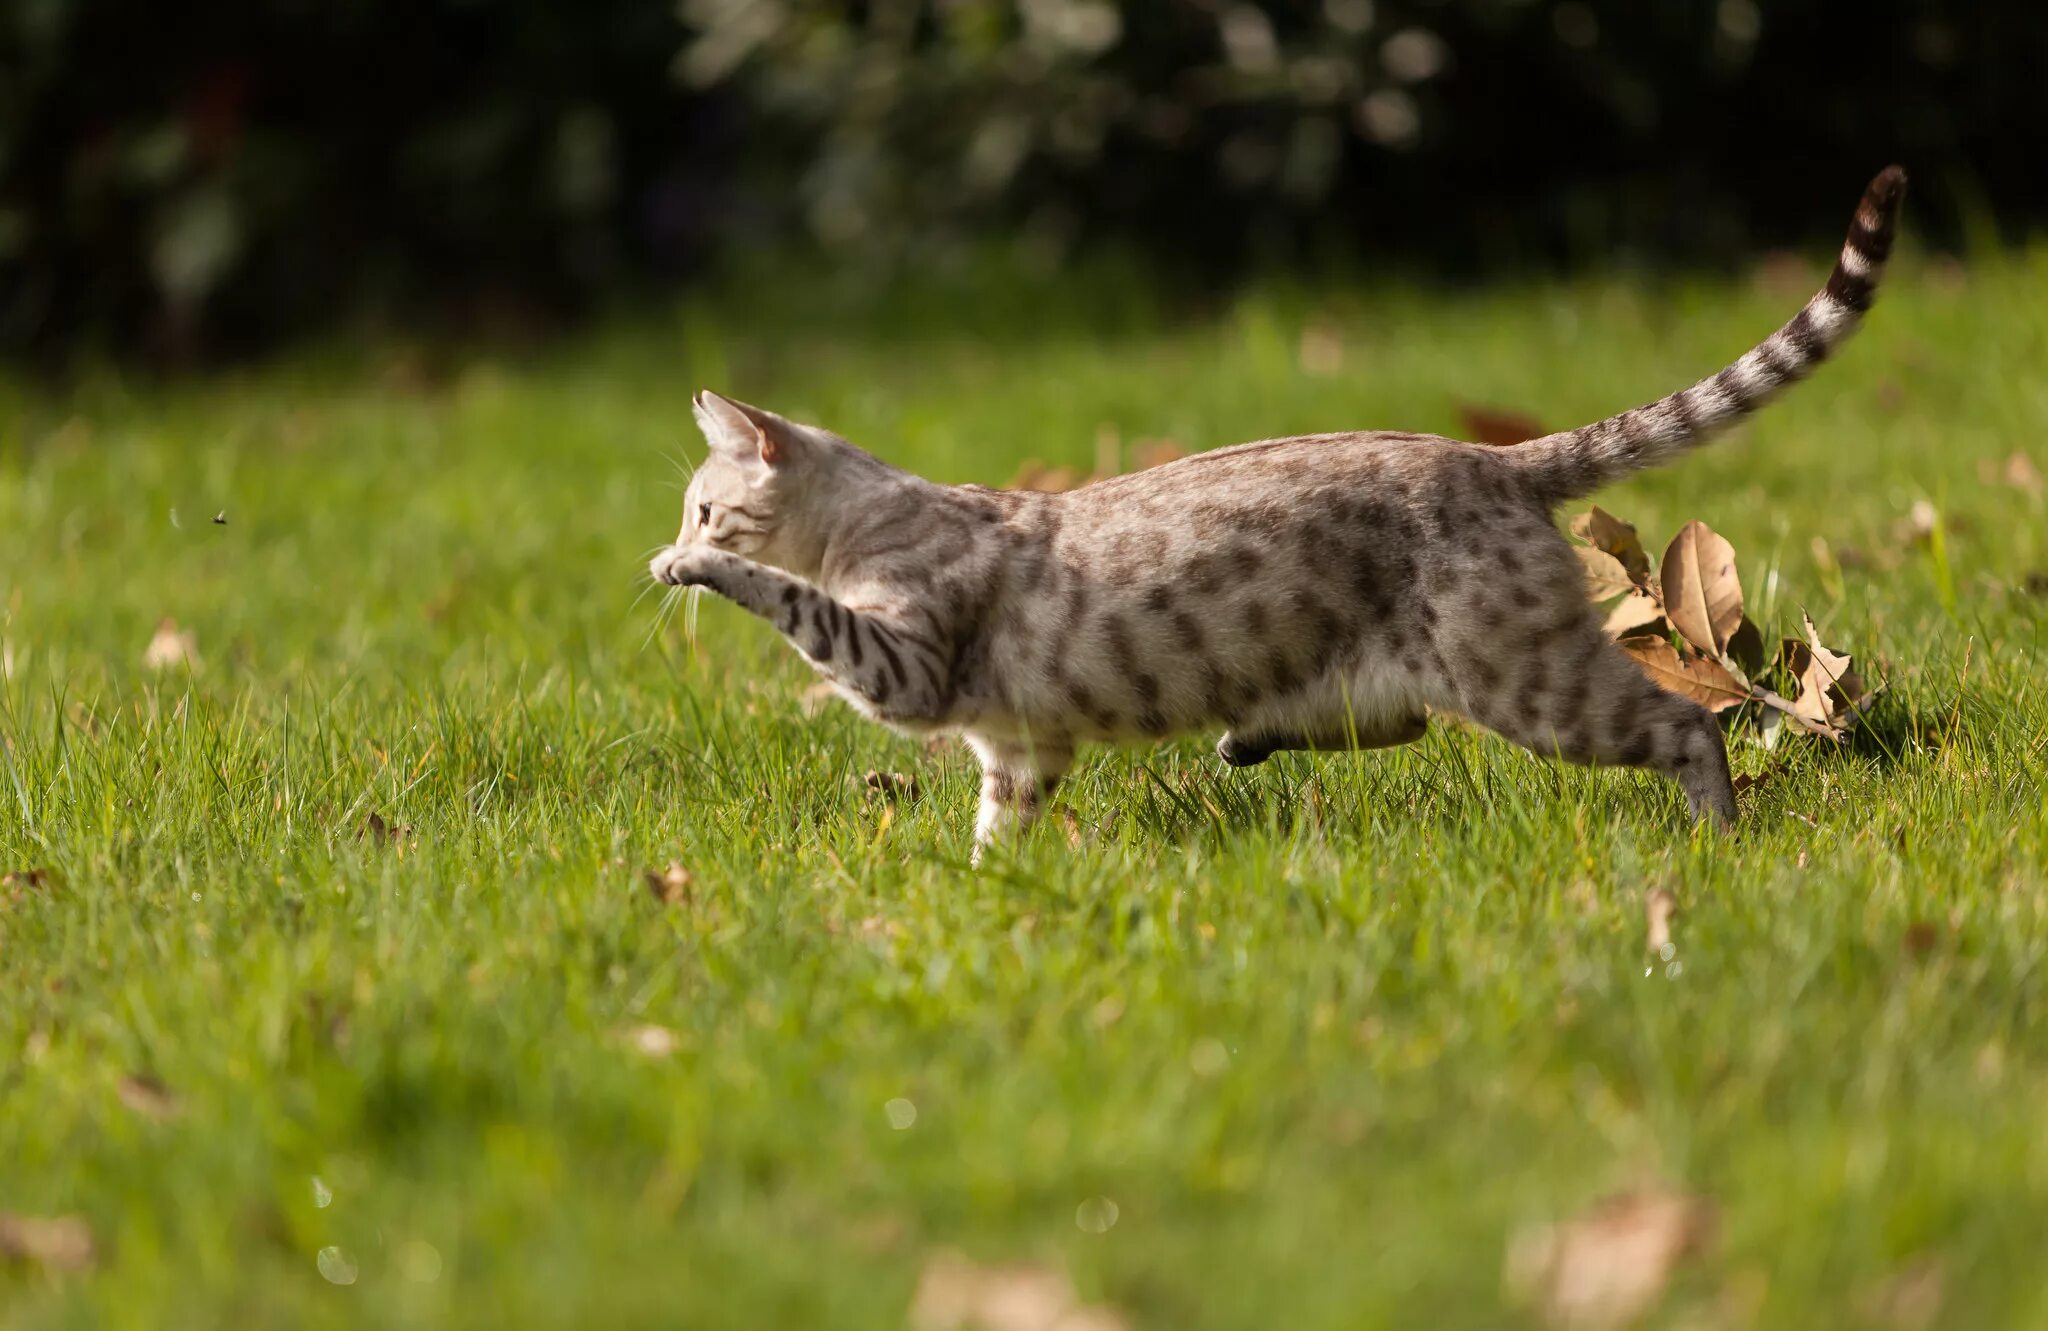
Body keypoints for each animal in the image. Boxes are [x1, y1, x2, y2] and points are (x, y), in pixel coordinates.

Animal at [651, 165, 1900, 855]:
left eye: (704, 512)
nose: (666, 549)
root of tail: (1495, 461)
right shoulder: (1022, 744)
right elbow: (997, 827)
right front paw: (986, 892)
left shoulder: (905, 667)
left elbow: (790, 603)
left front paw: (694, 576)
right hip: (1386, 674)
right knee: (1392, 725)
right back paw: (1242, 739)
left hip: (1523, 682)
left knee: (1686, 723)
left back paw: (1715, 844)